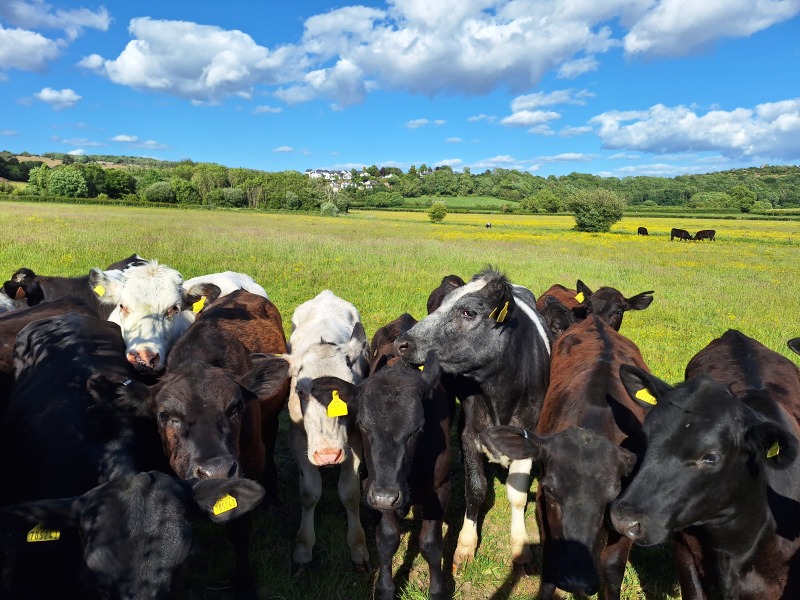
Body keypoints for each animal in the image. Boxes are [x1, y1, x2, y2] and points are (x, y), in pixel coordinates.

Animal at [282, 290, 371, 574]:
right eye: (300, 391)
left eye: (349, 390)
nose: (328, 454)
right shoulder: (299, 441)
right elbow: (310, 494)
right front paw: (303, 548)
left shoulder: (354, 440)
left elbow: (350, 494)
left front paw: (358, 548)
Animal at [311, 352, 451, 600]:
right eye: (362, 424)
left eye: (417, 428)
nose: (386, 497)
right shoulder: (376, 488)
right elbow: (387, 539)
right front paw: (385, 588)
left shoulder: (441, 486)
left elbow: (431, 544)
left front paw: (437, 590)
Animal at [395, 267, 552, 572]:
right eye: (444, 304)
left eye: (468, 312)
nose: (401, 343)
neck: (499, 392)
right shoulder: (471, 433)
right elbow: (476, 489)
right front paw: (466, 545)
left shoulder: (527, 433)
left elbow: (518, 495)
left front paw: (521, 546)